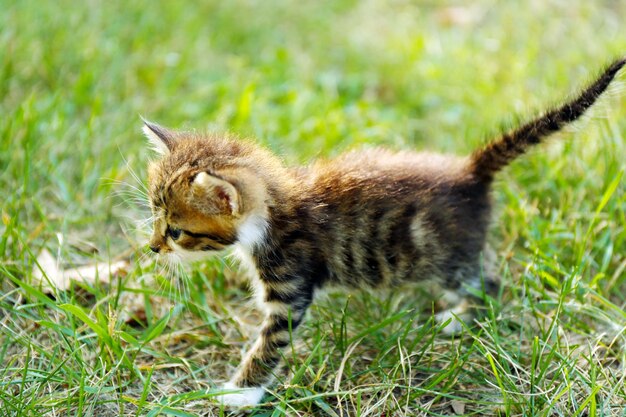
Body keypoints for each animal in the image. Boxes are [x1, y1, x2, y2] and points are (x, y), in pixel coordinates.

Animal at [143, 59, 624, 406]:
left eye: (177, 231)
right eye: (154, 216)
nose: (151, 248)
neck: (276, 207)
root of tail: (470, 171)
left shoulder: (291, 290)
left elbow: (269, 344)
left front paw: (239, 392)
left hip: (447, 257)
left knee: (489, 283)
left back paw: (462, 318)